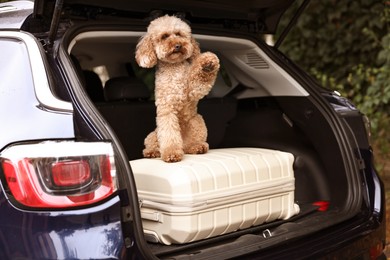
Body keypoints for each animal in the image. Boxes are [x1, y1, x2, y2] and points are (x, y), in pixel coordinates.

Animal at [135, 14, 219, 162]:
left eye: (179, 34)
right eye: (164, 36)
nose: (178, 45)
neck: (175, 67)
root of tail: (183, 145)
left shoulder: (192, 90)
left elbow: (199, 80)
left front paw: (207, 63)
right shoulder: (167, 109)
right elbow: (169, 135)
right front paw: (172, 153)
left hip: (198, 122)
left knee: (191, 145)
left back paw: (197, 147)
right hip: (152, 135)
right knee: (153, 144)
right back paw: (151, 152)